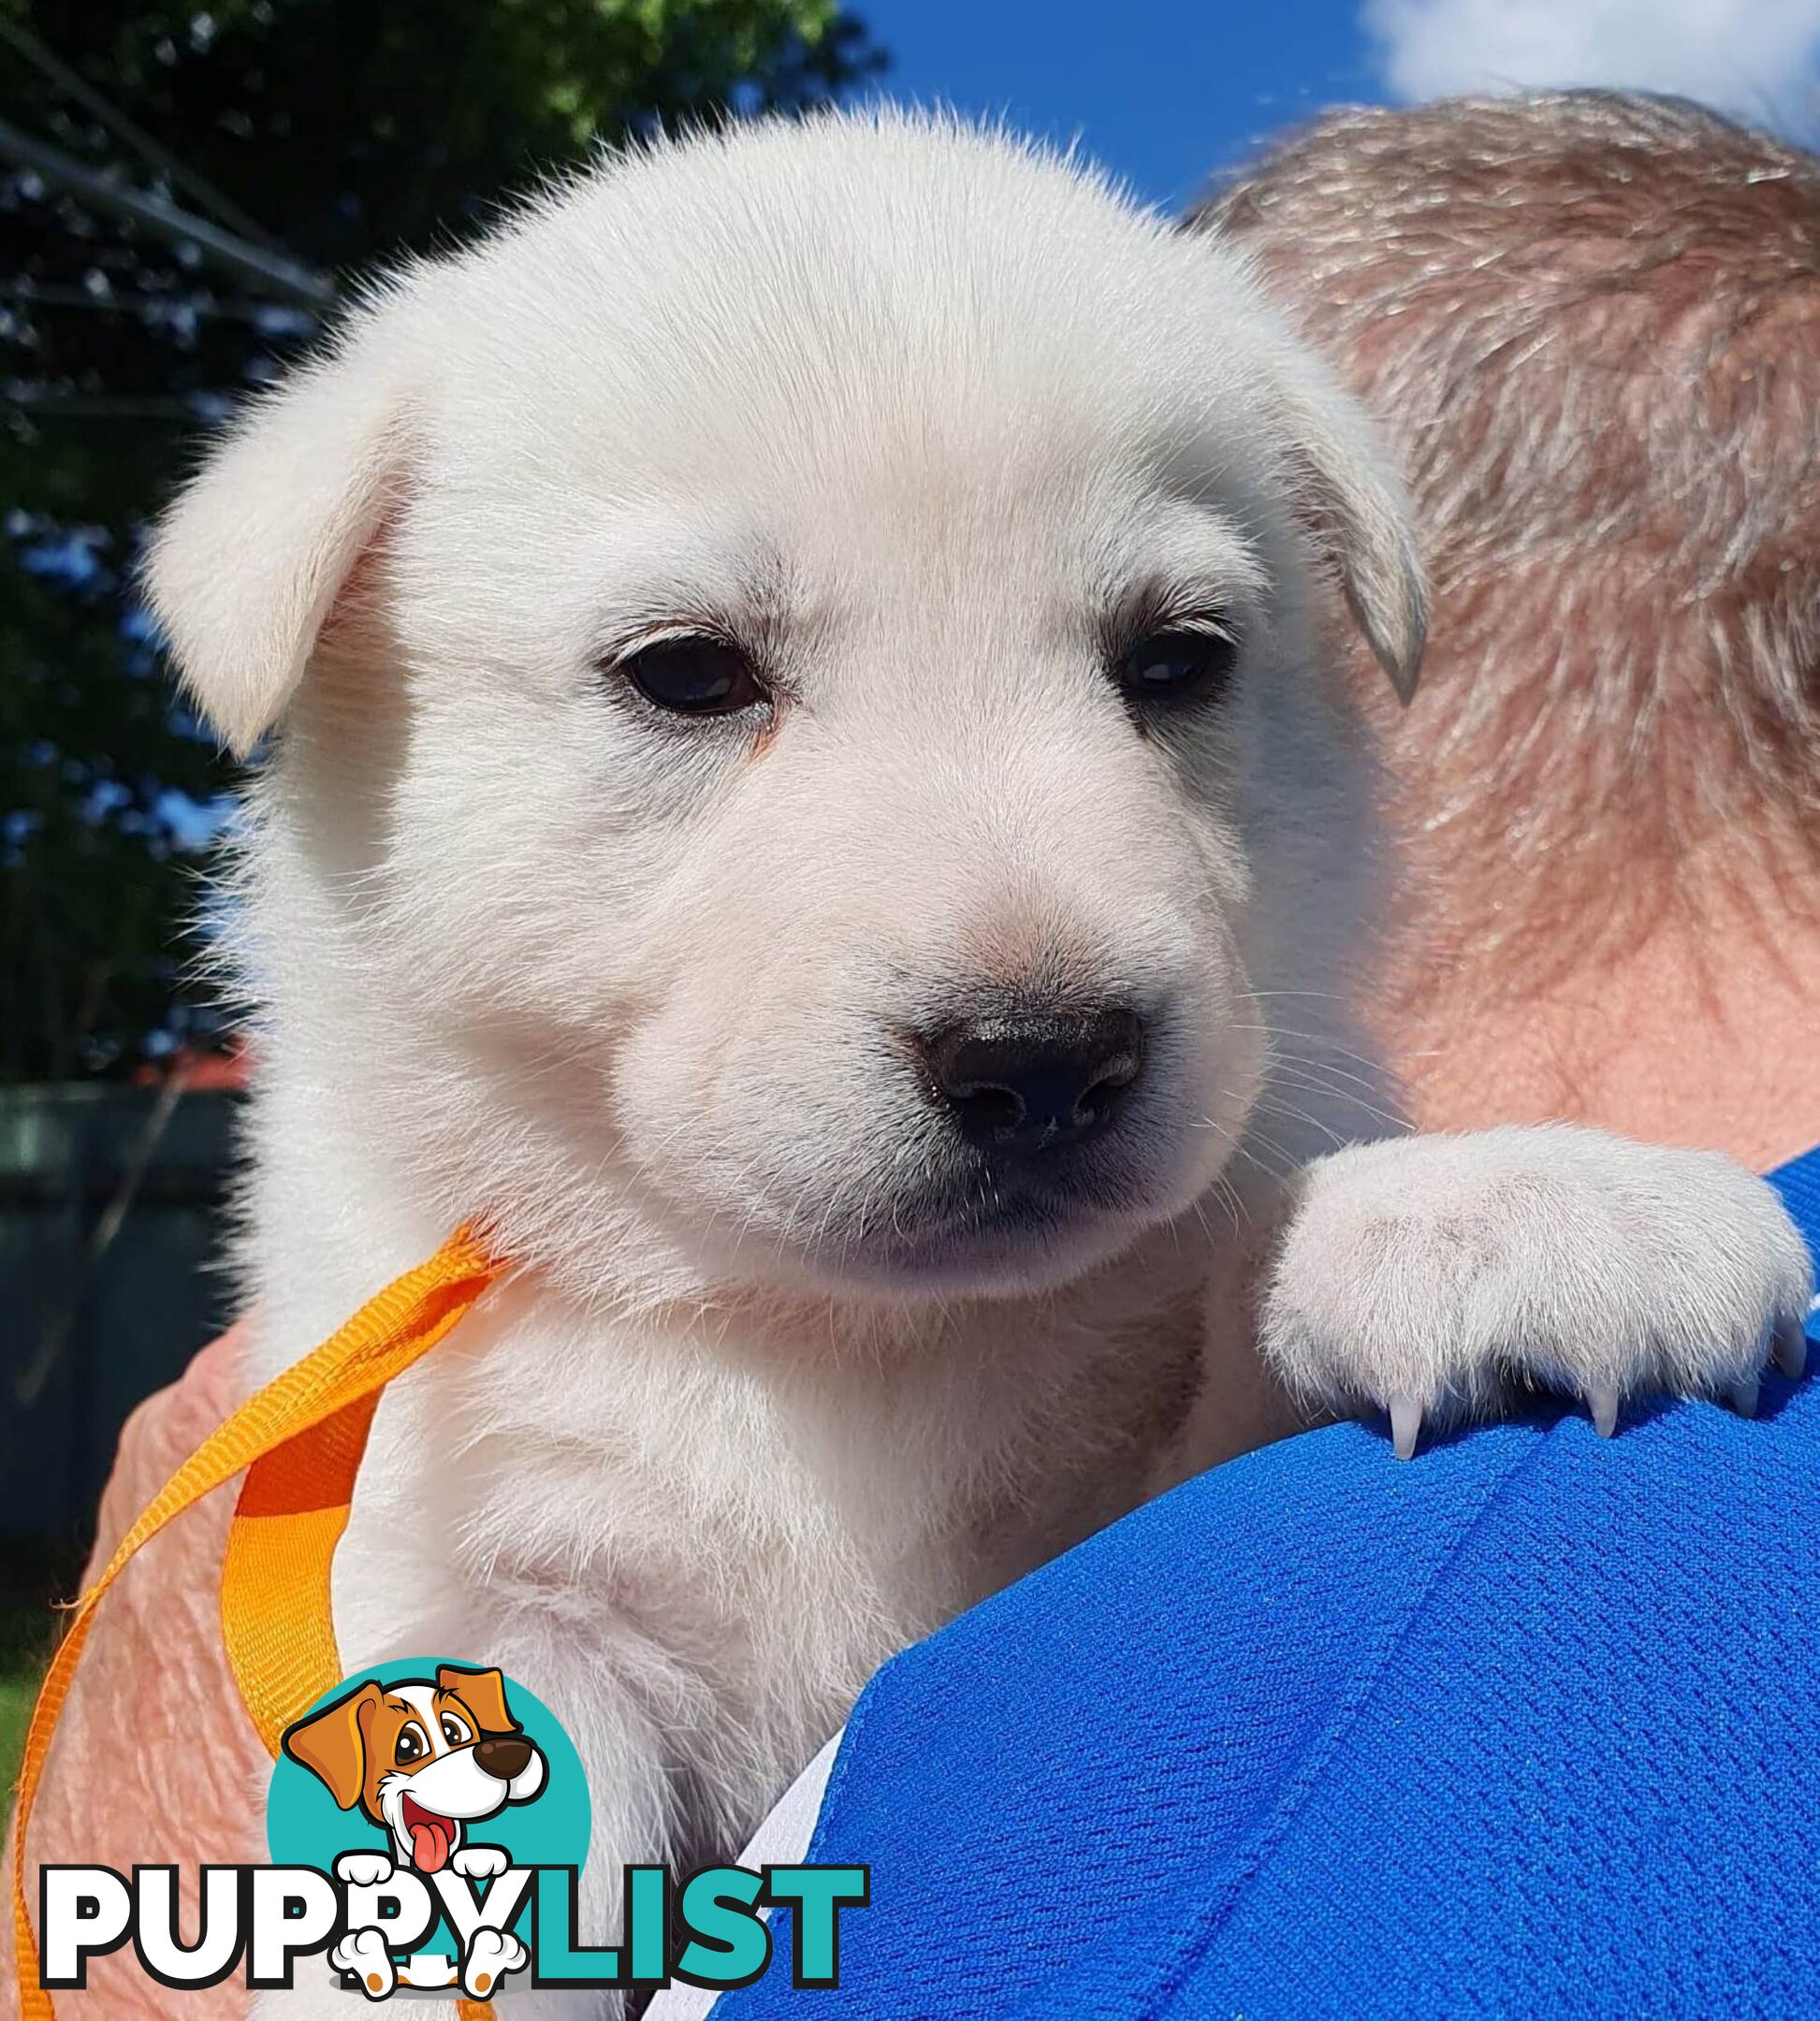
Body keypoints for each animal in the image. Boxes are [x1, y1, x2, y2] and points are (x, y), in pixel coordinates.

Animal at [142, 106, 1803, 2004]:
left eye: (1178, 661)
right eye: (688, 674)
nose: (1043, 1058)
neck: (832, 1345)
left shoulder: (1104, 1515)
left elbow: (1239, 1288)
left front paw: (1498, 1207)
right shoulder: (473, 1565)